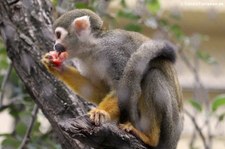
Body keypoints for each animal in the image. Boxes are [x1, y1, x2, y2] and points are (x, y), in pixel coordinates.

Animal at [41, 9, 184, 148]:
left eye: (58, 35)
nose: (55, 46)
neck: (92, 48)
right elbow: (101, 92)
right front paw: (57, 66)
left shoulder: (113, 52)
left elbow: (122, 90)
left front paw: (100, 112)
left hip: (170, 128)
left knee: (153, 76)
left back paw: (150, 138)